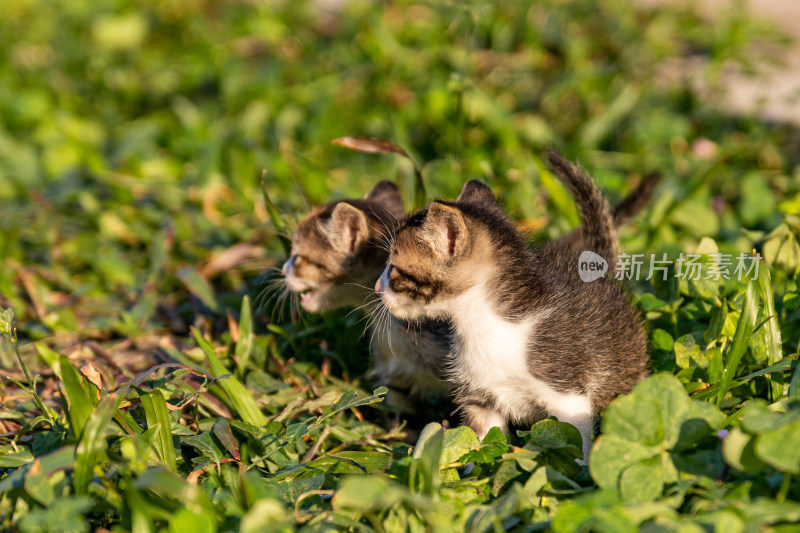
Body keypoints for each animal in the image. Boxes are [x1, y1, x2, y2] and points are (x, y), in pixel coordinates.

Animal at [376, 152, 648, 460]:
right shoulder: (480, 399)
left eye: (393, 267)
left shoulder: (568, 397)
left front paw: (581, 472)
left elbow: (575, 443)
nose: (376, 287)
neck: (484, 325)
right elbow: (482, 444)